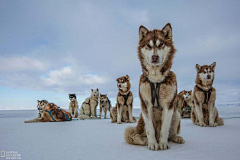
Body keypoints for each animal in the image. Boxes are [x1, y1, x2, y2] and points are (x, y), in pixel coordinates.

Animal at [124, 23, 185, 151]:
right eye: (148, 45)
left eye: (161, 44)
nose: (155, 57)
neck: (156, 80)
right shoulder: (146, 105)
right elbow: (150, 129)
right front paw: (152, 143)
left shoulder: (169, 105)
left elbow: (165, 128)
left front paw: (162, 143)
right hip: (141, 120)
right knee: (143, 133)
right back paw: (146, 140)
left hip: (176, 114)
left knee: (171, 133)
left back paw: (176, 138)